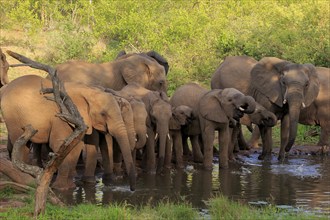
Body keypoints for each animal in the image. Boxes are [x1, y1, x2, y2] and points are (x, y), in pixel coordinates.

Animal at [0, 74, 136, 191]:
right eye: (103, 114)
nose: (131, 189)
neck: (89, 92)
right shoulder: (62, 114)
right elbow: (59, 144)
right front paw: (61, 188)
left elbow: (75, 146)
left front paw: (70, 187)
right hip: (12, 115)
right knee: (20, 143)